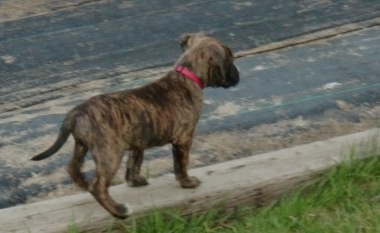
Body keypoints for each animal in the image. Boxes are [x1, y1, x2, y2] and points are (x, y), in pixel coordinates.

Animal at [33, 32, 240, 218]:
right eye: (230, 61)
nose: (238, 76)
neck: (186, 74)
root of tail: (77, 111)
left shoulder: (137, 141)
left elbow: (134, 162)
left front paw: (134, 181)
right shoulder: (183, 139)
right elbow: (181, 164)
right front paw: (188, 183)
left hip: (82, 145)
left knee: (73, 168)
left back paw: (83, 185)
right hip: (109, 153)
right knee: (98, 186)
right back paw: (118, 211)